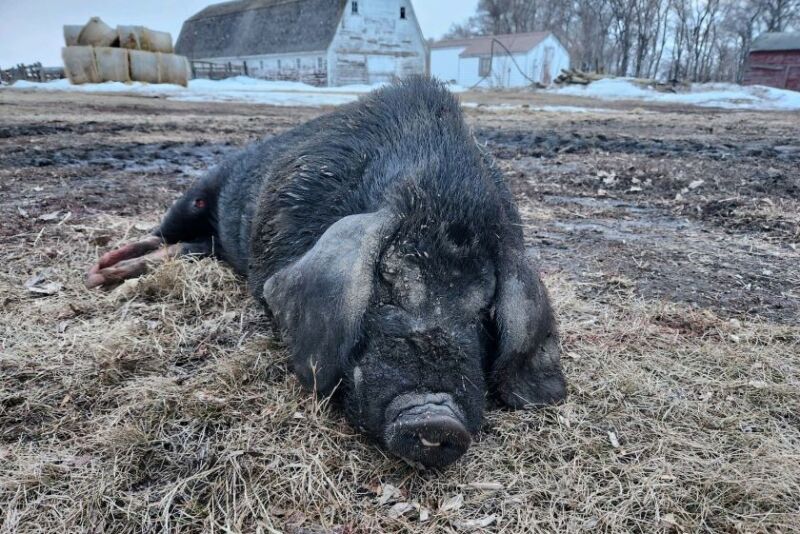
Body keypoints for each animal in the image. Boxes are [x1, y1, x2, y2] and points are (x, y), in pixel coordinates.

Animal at [87, 77, 567, 468]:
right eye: (386, 283)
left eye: (484, 313)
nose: (436, 417)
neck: (438, 194)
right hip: (197, 192)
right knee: (163, 233)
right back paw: (101, 272)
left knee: (189, 248)